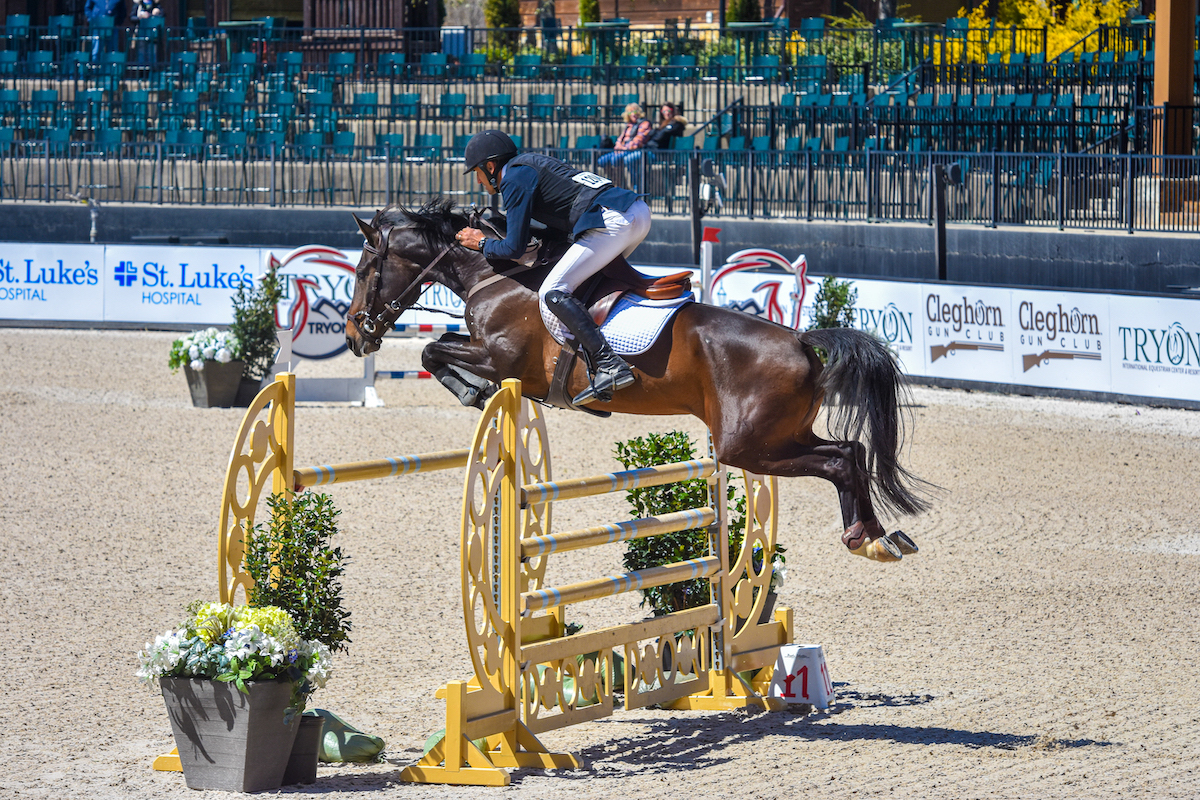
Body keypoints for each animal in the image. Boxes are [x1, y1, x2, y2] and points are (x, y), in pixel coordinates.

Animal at [343, 200, 931, 563]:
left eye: (366, 269)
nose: (354, 335)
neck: (497, 274)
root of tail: (802, 342)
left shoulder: (503, 360)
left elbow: (432, 348)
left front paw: (469, 389)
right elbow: (436, 344)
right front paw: (469, 388)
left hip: (749, 445)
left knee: (838, 460)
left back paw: (865, 537)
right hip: (779, 434)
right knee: (851, 451)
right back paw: (876, 538)